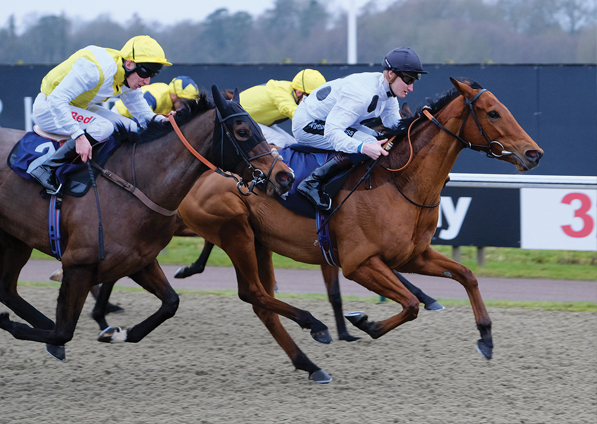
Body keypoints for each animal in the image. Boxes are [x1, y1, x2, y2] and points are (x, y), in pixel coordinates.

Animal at [0, 86, 294, 362]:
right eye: (243, 131)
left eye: (260, 127)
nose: (284, 176)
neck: (136, 184)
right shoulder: (78, 263)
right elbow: (62, 331)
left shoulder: (138, 260)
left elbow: (171, 302)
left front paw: (120, 333)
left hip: (16, 240)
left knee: (8, 290)